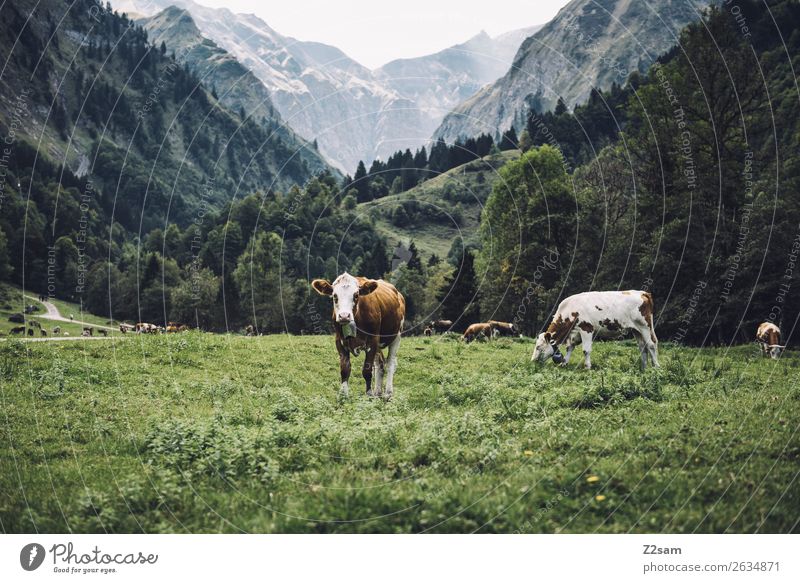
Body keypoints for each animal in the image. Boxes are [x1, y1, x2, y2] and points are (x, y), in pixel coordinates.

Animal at [312, 274, 406, 402]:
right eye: (335, 295)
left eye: (356, 295)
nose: (344, 316)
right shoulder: (339, 342)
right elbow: (345, 370)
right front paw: (343, 395)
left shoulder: (372, 341)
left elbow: (367, 370)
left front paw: (369, 395)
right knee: (380, 363)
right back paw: (378, 392)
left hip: (397, 335)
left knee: (391, 363)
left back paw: (388, 393)